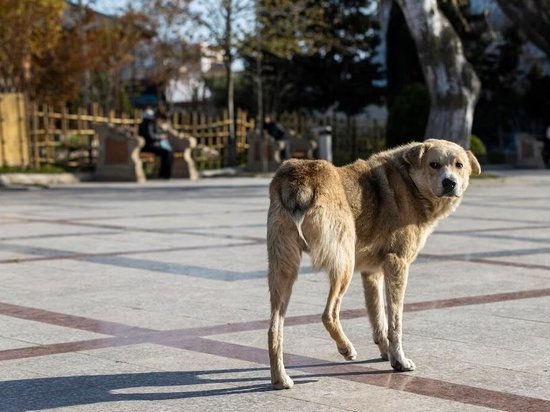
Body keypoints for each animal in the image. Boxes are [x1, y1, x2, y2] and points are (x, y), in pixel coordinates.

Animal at [268, 138, 484, 390]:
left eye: (459, 165)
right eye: (434, 164)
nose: (450, 183)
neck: (410, 182)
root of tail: (300, 178)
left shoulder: (371, 273)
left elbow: (378, 318)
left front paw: (386, 354)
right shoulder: (397, 263)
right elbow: (395, 322)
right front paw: (399, 360)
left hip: (283, 269)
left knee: (274, 328)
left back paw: (280, 379)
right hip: (344, 264)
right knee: (328, 314)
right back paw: (346, 348)